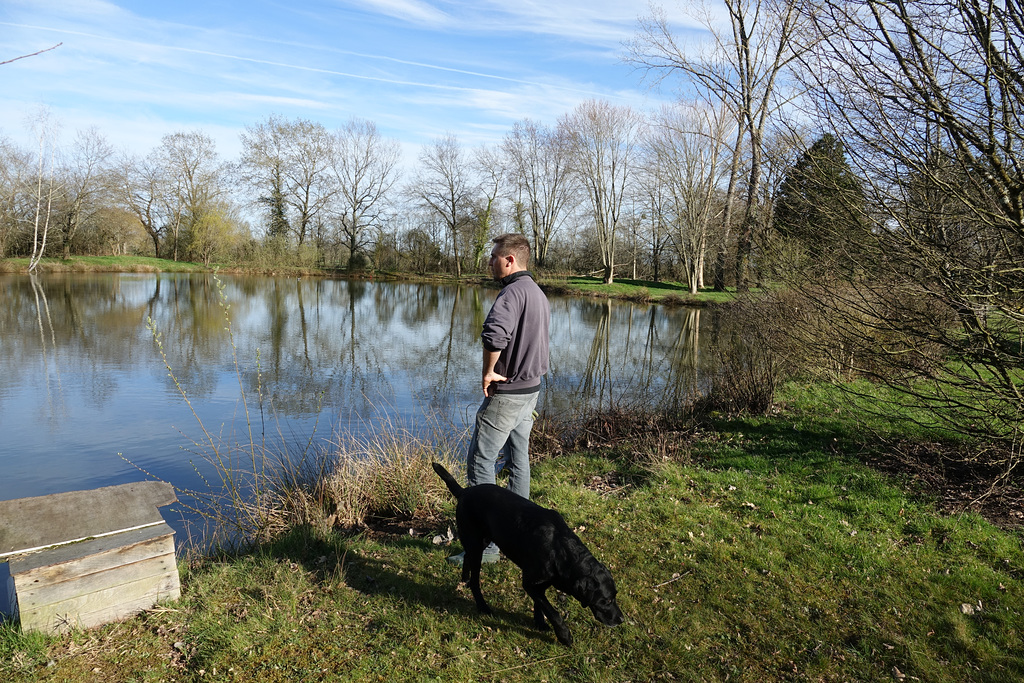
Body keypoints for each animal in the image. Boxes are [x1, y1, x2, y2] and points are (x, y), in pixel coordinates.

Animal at [432, 458, 622, 647]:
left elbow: (540, 605)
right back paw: (482, 606)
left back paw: (464, 580)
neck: (560, 549)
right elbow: (553, 612)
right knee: (475, 581)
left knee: (467, 558)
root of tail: (465, 491)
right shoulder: (530, 584)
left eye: (615, 596)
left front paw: (540, 623)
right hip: (476, 543)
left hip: (480, 542)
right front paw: (564, 636)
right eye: (606, 601)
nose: (621, 619)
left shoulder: (540, 585)